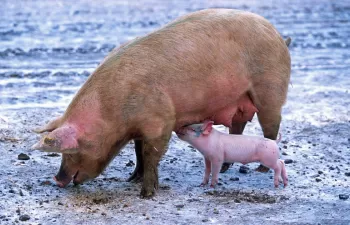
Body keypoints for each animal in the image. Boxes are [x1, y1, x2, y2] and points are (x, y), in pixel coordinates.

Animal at [32, 9, 290, 199]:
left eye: (74, 149)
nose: (57, 180)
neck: (113, 112)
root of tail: (279, 35)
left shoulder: (160, 120)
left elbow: (151, 153)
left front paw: (145, 194)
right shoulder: (138, 128)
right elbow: (138, 151)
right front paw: (131, 178)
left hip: (271, 90)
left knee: (271, 126)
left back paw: (261, 169)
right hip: (238, 101)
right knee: (237, 126)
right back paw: (226, 167)